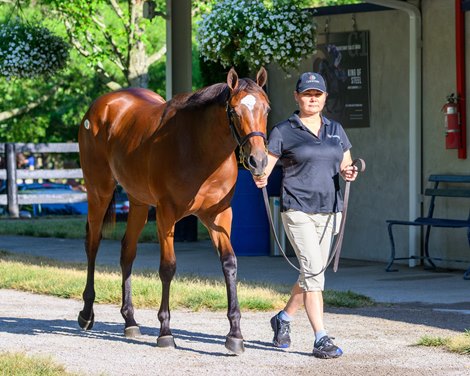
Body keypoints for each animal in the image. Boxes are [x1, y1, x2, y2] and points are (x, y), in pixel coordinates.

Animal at [77, 68, 268, 356]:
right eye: (234, 111)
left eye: (266, 109)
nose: (258, 161)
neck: (198, 147)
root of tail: (100, 106)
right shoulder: (166, 215)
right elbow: (168, 267)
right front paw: (165, 332)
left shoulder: (220, 216)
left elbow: (229, 263)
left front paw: (235, 334)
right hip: (99, 191)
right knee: (93, 243)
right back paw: (87, 313)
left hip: (138, 202)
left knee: (127, 252)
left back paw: (130, 321)